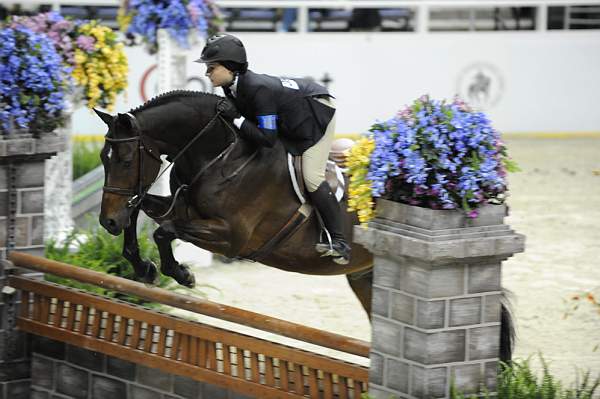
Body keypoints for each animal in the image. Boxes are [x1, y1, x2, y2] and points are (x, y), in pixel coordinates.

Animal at [95, 90, 516, 362]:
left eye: (126, 158)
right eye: (103, 157)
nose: (106, 221)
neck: (219, 155)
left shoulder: (233, 238)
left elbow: (164, 230)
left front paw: (180, 273)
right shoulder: (177, 206)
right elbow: (142, 211)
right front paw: (142, 267)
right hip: (366, 276)